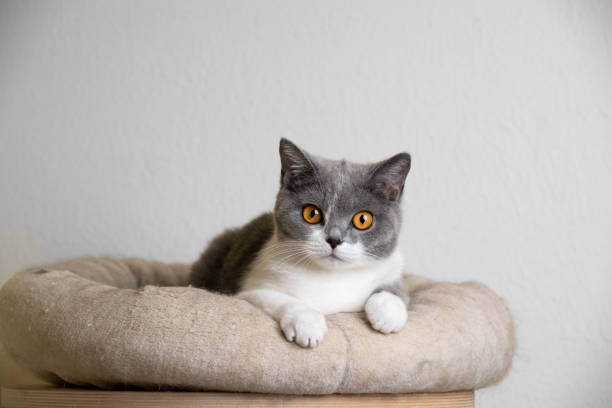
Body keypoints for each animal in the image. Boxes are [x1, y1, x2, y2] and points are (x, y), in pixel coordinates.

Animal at [191, 138, 412, 348]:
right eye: (311, 214)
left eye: (363, 219)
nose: (334, 239)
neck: (331, 278)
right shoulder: (250, 289)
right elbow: (277, 299)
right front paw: (307, 325)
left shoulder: (391, 270)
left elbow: (398, 291)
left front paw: (388, 313)